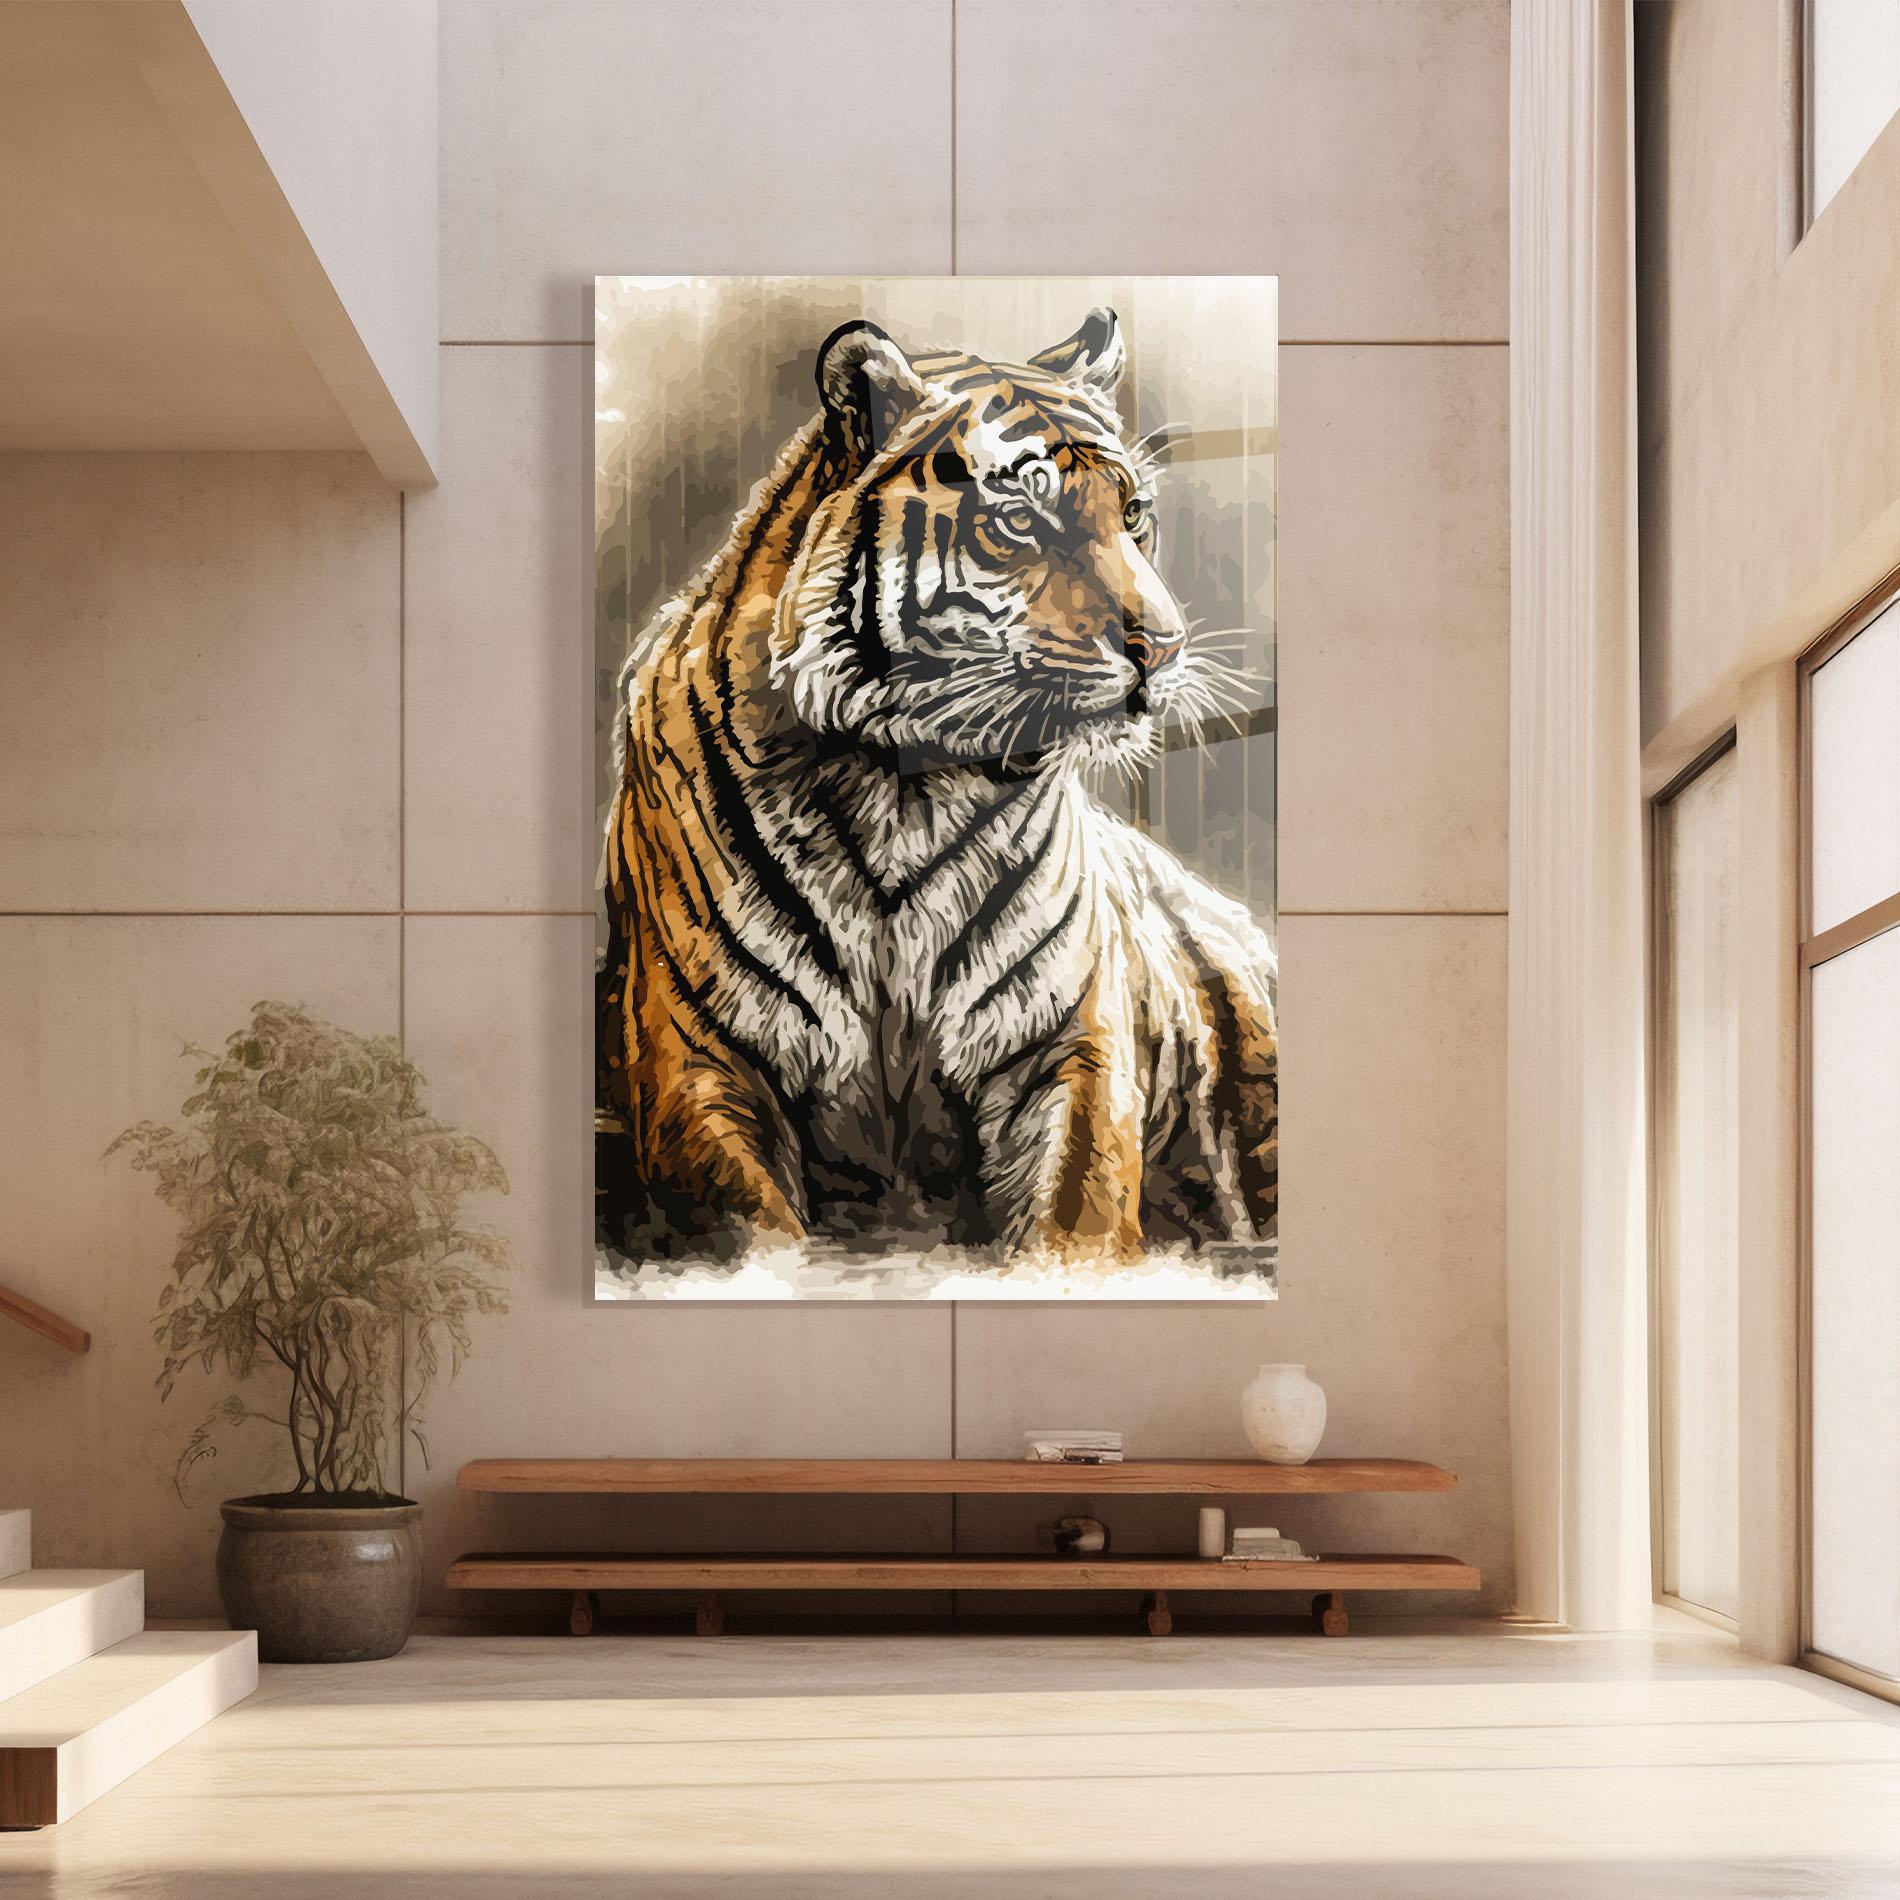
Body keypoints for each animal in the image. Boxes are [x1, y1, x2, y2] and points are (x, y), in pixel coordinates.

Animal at [597, 307, 1277, 1271]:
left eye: (1134, 513)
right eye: (1021, 519)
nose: (1165, 646)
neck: (902, 789)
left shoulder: (1072, 1045)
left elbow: (1074, 1217)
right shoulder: (696, 1058)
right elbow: (758, 1235)